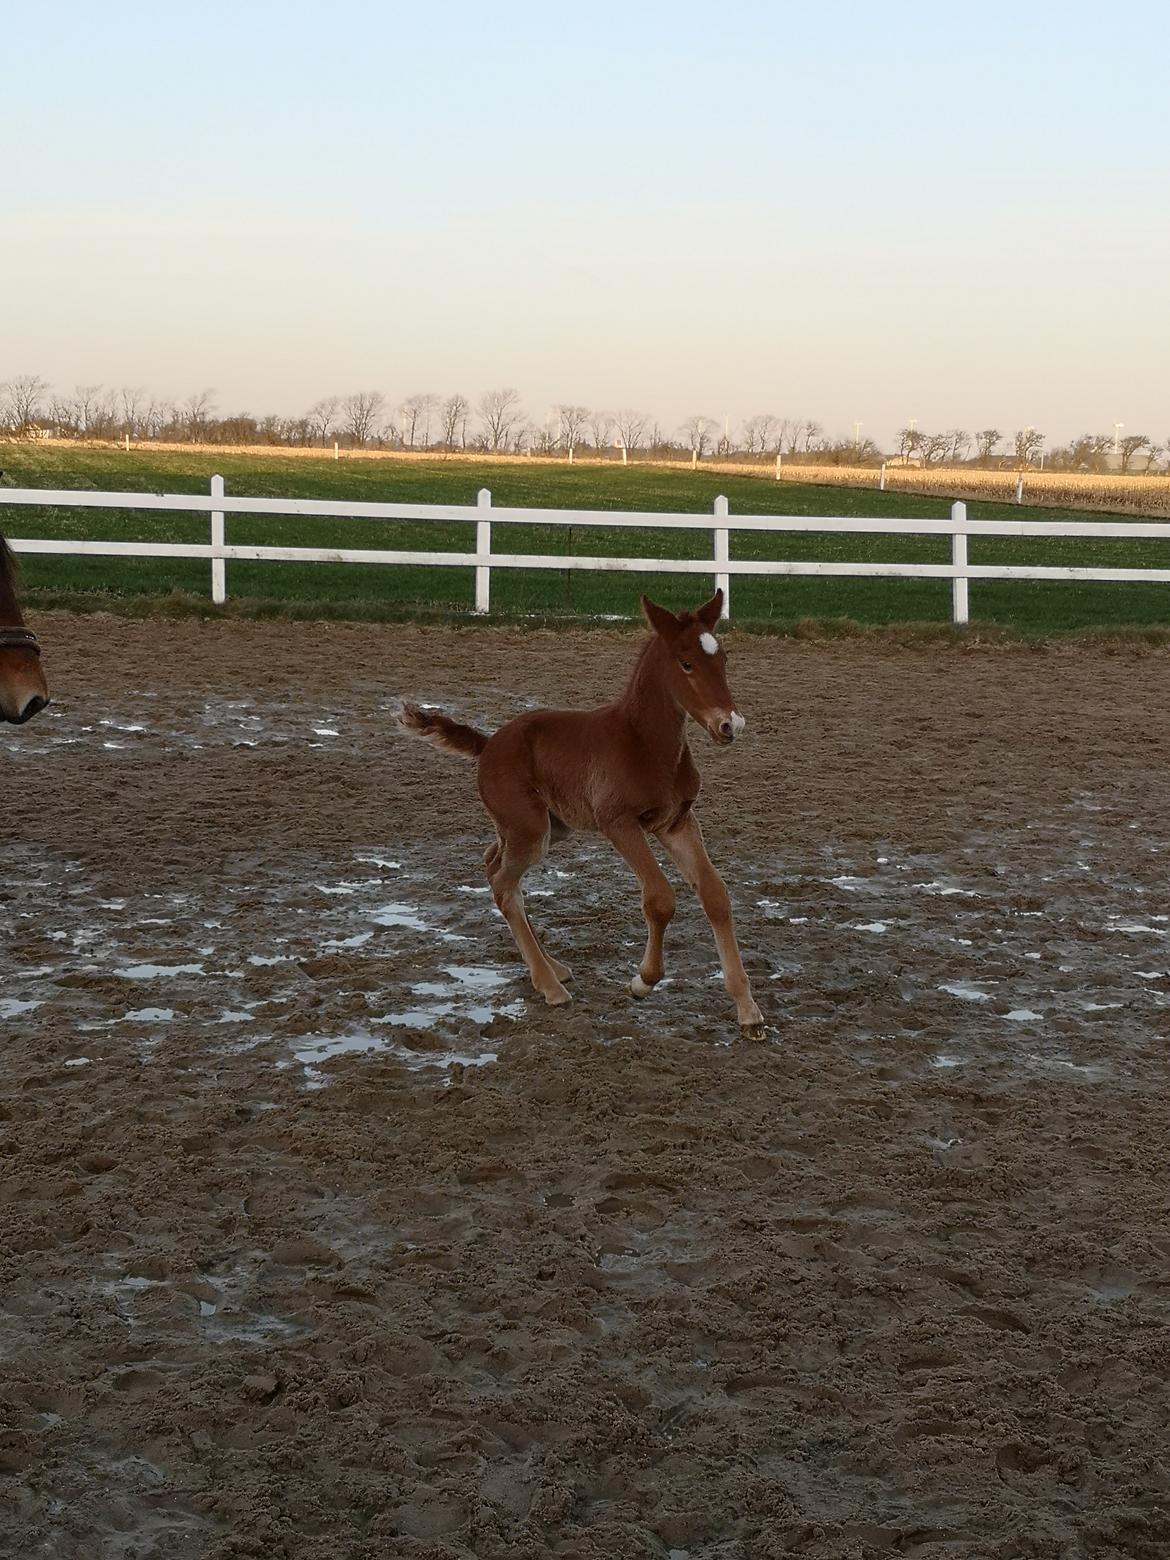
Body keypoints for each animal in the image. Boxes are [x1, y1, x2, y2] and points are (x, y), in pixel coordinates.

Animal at [402, 589, 770, 1042]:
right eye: (686, 663)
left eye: (723, 659)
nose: (730, 724)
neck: (645, 743)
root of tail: (487, 745)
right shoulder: (620, 824)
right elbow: (660, 898)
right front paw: (642, 981)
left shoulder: (676, 822)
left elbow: (716, 895)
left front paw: (748, 1011)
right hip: (530, 831)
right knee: (504, 885)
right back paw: (551, 987)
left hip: (544, 828)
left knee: (493, 867)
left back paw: (554, 967)